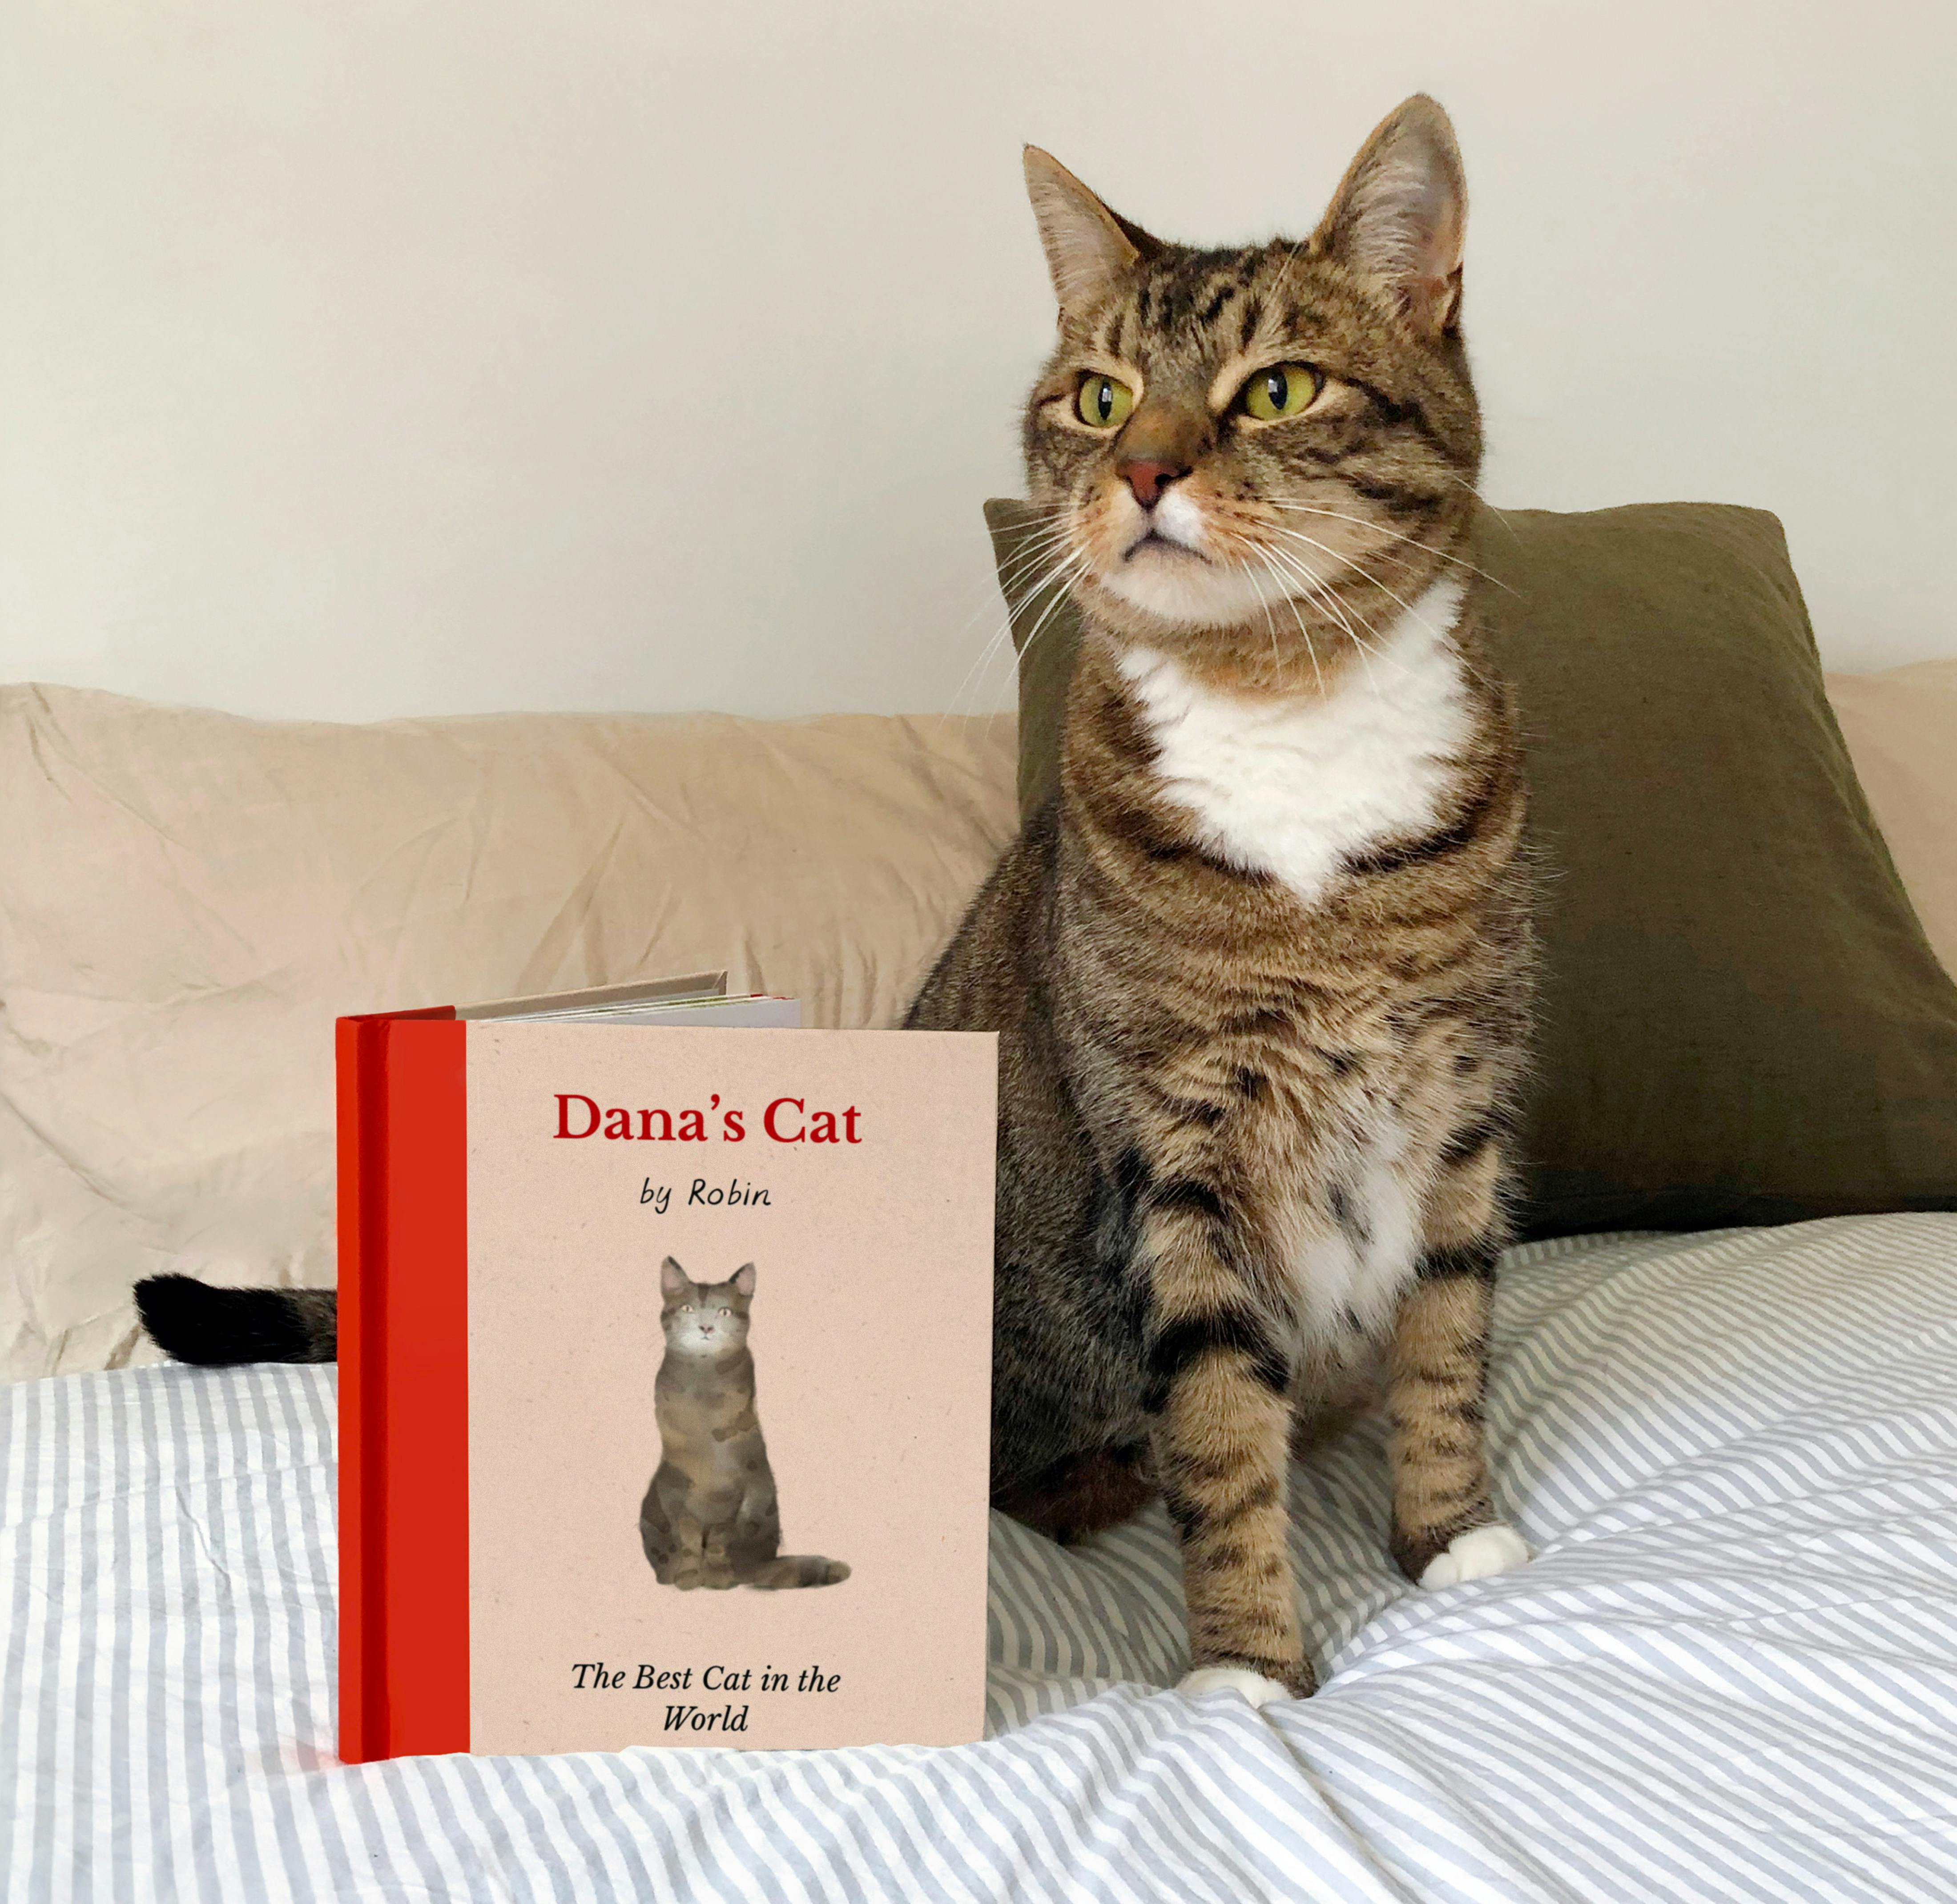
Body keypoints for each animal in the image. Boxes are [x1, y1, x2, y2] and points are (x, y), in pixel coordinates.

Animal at [638, 1260, 845, 1589]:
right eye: (688, 1308)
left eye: (724, 1312)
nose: (706, 1328)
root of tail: (760, 1564)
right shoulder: (676, 1489)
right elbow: (689, 1538)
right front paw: (688, 1577)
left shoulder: (736, 1490)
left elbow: (719, 1539)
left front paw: (717, 1577)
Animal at [908, 96, 1534, 1698]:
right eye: (1100, 398)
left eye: (1279, 389)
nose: (1142, 471)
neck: (1290, 716)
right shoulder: (1179, 1156)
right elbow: (1219, 1427)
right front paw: (1249, 1666)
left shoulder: (1464, 1101)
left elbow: (1448, 1335)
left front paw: (1452, 1539)